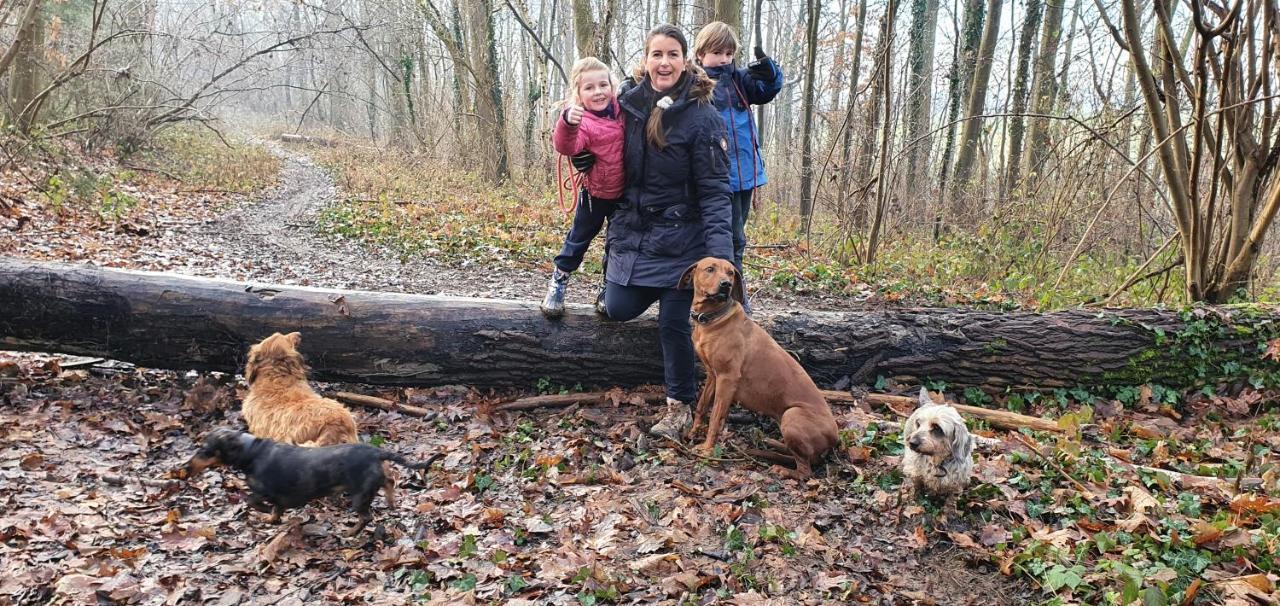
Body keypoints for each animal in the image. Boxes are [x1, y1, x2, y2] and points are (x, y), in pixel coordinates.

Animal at [675, 254, 844, 476]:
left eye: (730, 272)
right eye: (710, 269)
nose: (726, 285)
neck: (714, 318)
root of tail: (835, 439)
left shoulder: (727, 379)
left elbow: (715, 418)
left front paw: (707, 449)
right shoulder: (713, 374)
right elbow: (703, 406)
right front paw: (694, 431)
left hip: (792, 415)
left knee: (805, 471)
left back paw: (782, 468)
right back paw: (773, 444)